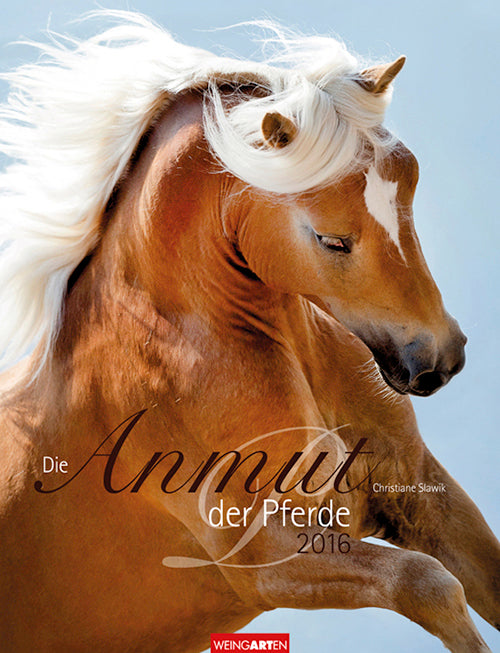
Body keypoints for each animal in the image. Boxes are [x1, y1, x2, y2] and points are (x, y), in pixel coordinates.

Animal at [0, 11, 498, 653]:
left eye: (409, 189)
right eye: (331, 239)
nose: (439, 357)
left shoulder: (422, 493)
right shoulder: (267, 557)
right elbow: (428, 584)